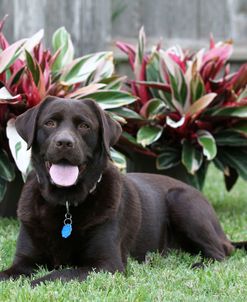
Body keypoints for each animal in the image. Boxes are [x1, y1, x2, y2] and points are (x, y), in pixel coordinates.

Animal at [0, 96, 246, 286]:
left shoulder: (106, 264)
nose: (64, 143)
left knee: (220, 254)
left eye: (84, 126)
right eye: (49, 123)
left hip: (183, 201)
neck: (65, 203)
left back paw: (198, 263)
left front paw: (33, 284)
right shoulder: (24, 260)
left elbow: (57, 275)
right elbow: (8, 273)